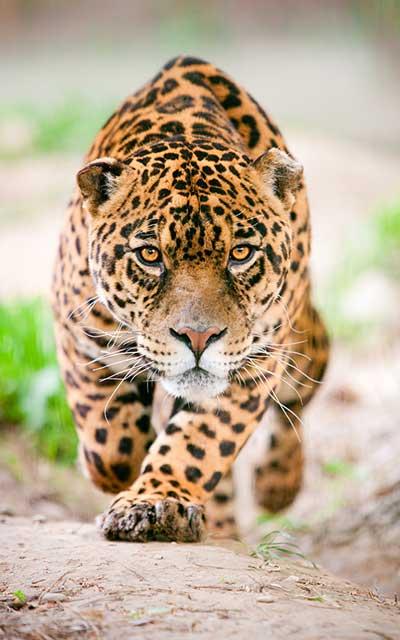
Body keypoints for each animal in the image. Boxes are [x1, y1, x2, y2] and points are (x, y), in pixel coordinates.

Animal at [52, 55, 329, 542]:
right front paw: (118, 472)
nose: (198, 338)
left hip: (299, 343)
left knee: (305, 382)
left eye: (241, 254)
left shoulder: (252, 366)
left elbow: (199, 443)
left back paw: (277, 485)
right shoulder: (78, 334)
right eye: (150, 255)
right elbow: (110, 443)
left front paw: (155, 502)